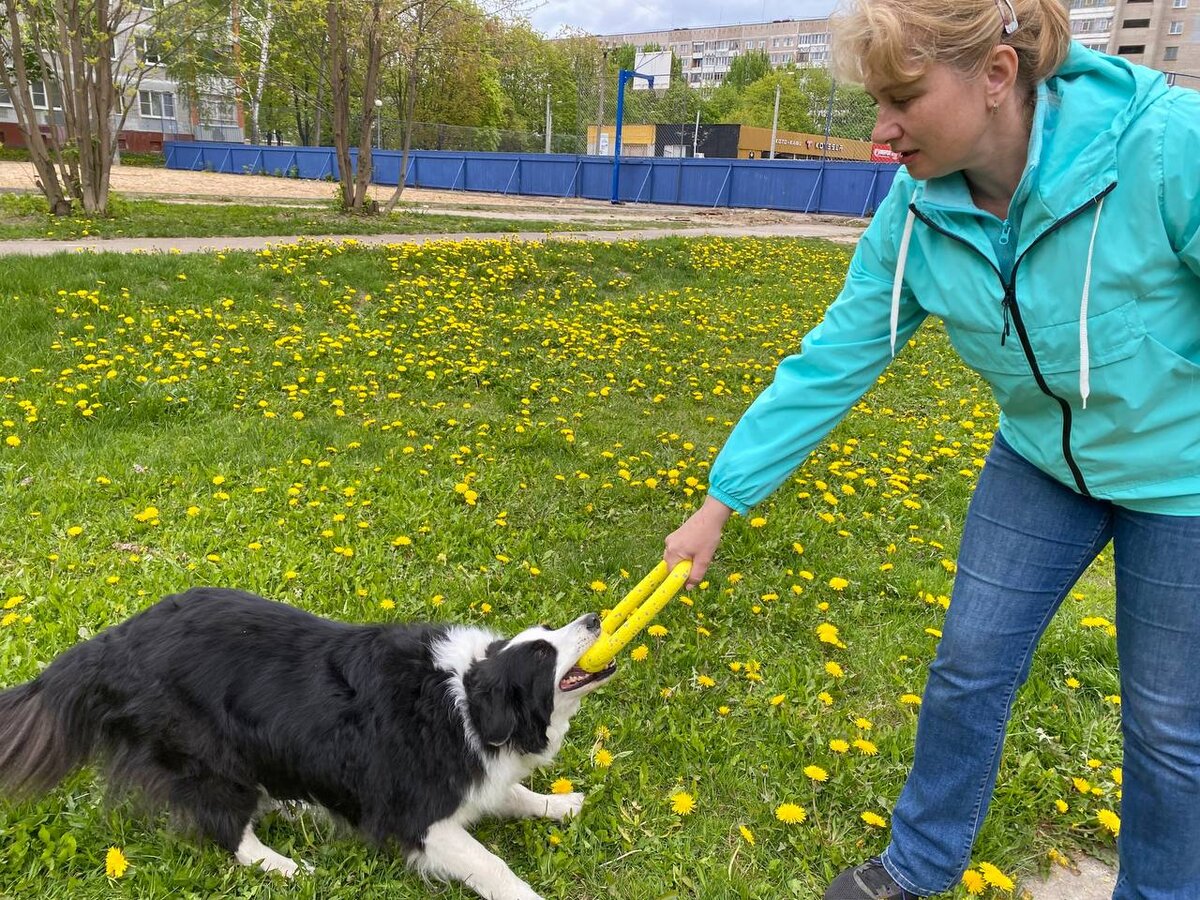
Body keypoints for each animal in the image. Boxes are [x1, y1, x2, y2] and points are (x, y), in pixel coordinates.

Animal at [0, 588, 614, 897]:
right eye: (542, 653)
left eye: (546, 633)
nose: (596, 616)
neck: (466, 698)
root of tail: (111, 642)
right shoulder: (416, 815)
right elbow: (490, 865)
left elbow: (511, 794)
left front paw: (560, 804)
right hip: (207, 751)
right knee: (227, 829)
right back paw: (286, 866)